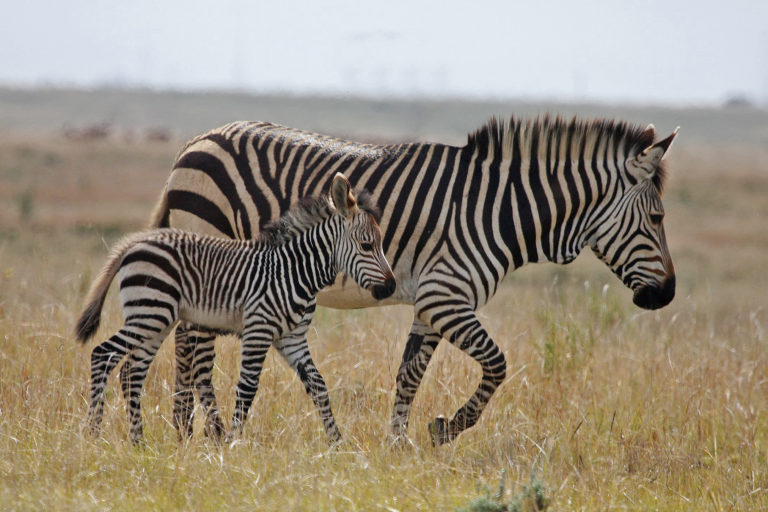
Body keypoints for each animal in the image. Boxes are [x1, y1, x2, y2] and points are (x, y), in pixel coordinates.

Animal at [75, 174, 392, 442]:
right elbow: (248, 388)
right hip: (149, 314)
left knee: (131, 372)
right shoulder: (258, 330)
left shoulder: (292, 338)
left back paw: (138, 442)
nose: (390, 287)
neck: (294, 272)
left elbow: (319, 386)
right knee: (103, 355)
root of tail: (135, 244)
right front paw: (232, 443)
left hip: (155, 320)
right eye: (367, 245)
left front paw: (337, 443)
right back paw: (93, 433)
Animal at [152, 115, 680, 444]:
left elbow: (409, 374)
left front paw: (398, 443)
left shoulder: (433, 302)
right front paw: (447, 428)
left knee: (189, 343)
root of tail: (195, 142)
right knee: (193, 348)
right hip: (210, 249)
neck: (498, 212)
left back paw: (191, 432)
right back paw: (200, 434)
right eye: (657, 218)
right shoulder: (447, 296)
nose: (667, 295)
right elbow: (498, 363)